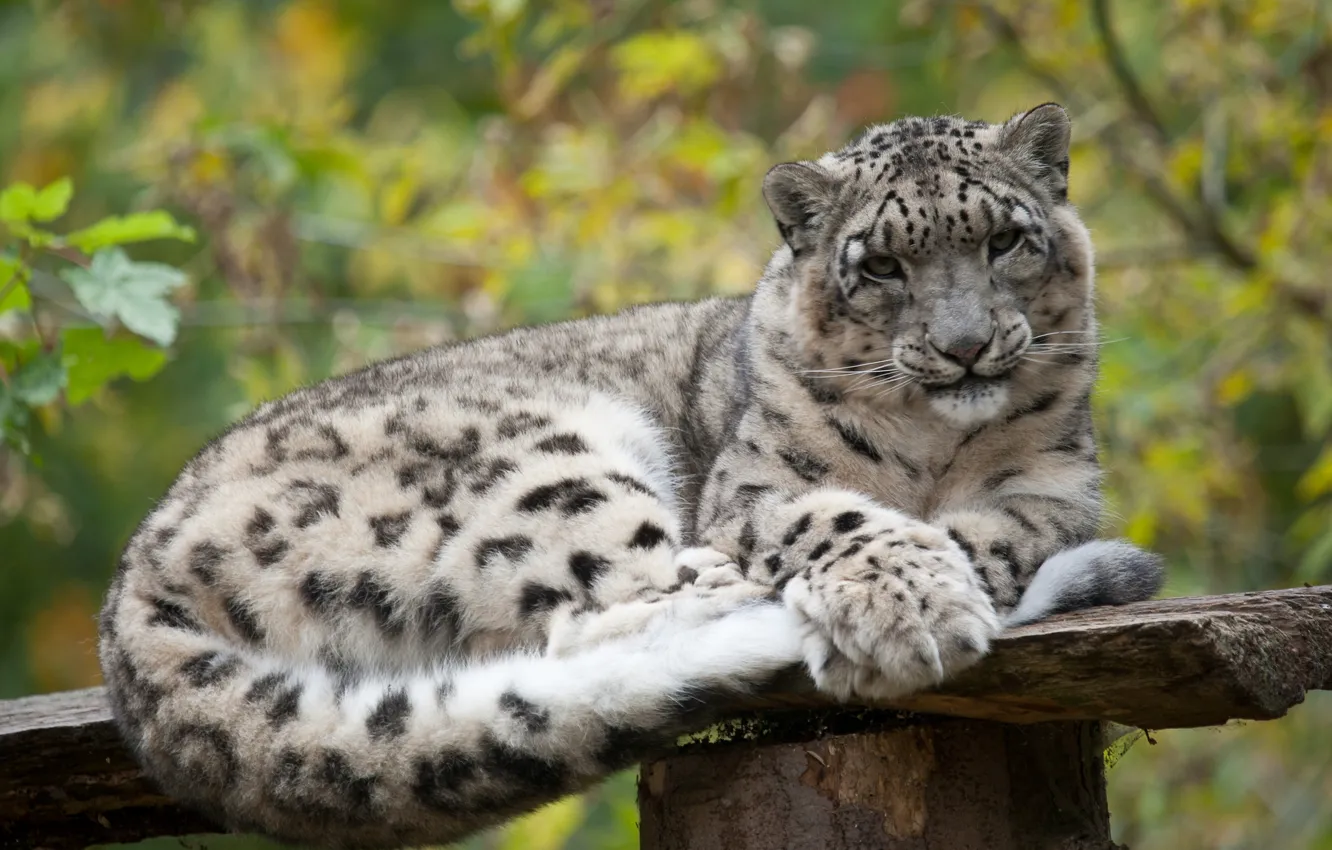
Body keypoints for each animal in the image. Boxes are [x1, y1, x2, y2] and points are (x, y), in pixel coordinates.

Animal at [98, 103, 1164, 848]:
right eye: (882, 267)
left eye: (1004, 239)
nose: (966, 345)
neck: (936, 448)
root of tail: (127, 595)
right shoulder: (754, 489)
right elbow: (844, 520)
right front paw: (907, 608)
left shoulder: (1056, 493)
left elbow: (988, 534)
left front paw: (930, 588)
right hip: (545, 464)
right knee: (608, 613)